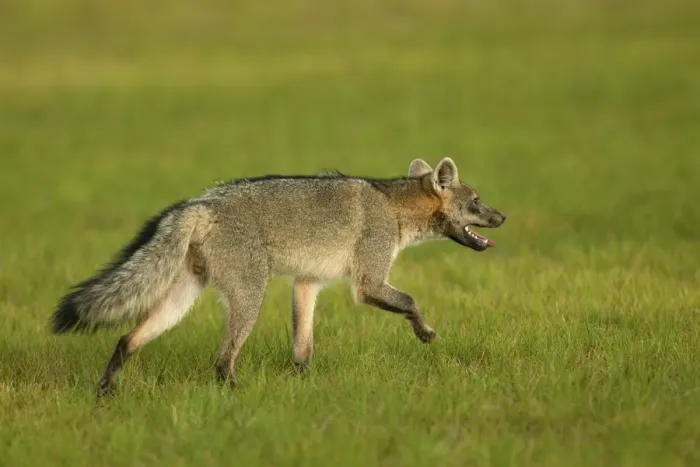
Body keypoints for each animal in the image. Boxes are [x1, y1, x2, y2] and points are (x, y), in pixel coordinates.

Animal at [51, 158, 506, 396]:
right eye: (477, 201)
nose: (503, 217)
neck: (393, 207)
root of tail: (202, 202)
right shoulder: (368, 283)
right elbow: (411, 301)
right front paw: (424, 332)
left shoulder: (306, 283)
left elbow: (302, 347)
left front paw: (305, 385)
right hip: (251, 297)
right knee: (221, 360)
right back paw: (236, 394)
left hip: (181, 301)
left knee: (127, 340)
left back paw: (106, 391)